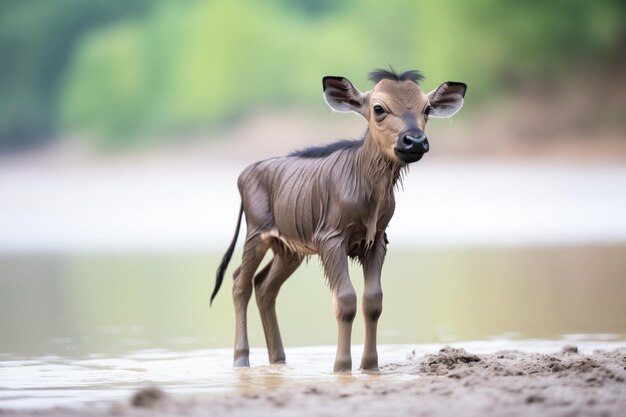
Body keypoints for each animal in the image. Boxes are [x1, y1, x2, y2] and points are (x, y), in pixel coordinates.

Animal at [210, 68, 464, 370]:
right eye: (378, 108)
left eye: (427, 109)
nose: (414, 141)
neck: (370, 193)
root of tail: (243, 175)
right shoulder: (330, 238)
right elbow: (345, 300)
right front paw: (342, 366)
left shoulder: (377, 240)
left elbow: (373, 301)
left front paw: (369, 366)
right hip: (256, 233)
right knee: (240, 282)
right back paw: (241, 359)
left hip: (288, 249)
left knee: (264, 286)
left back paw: (279, 359)